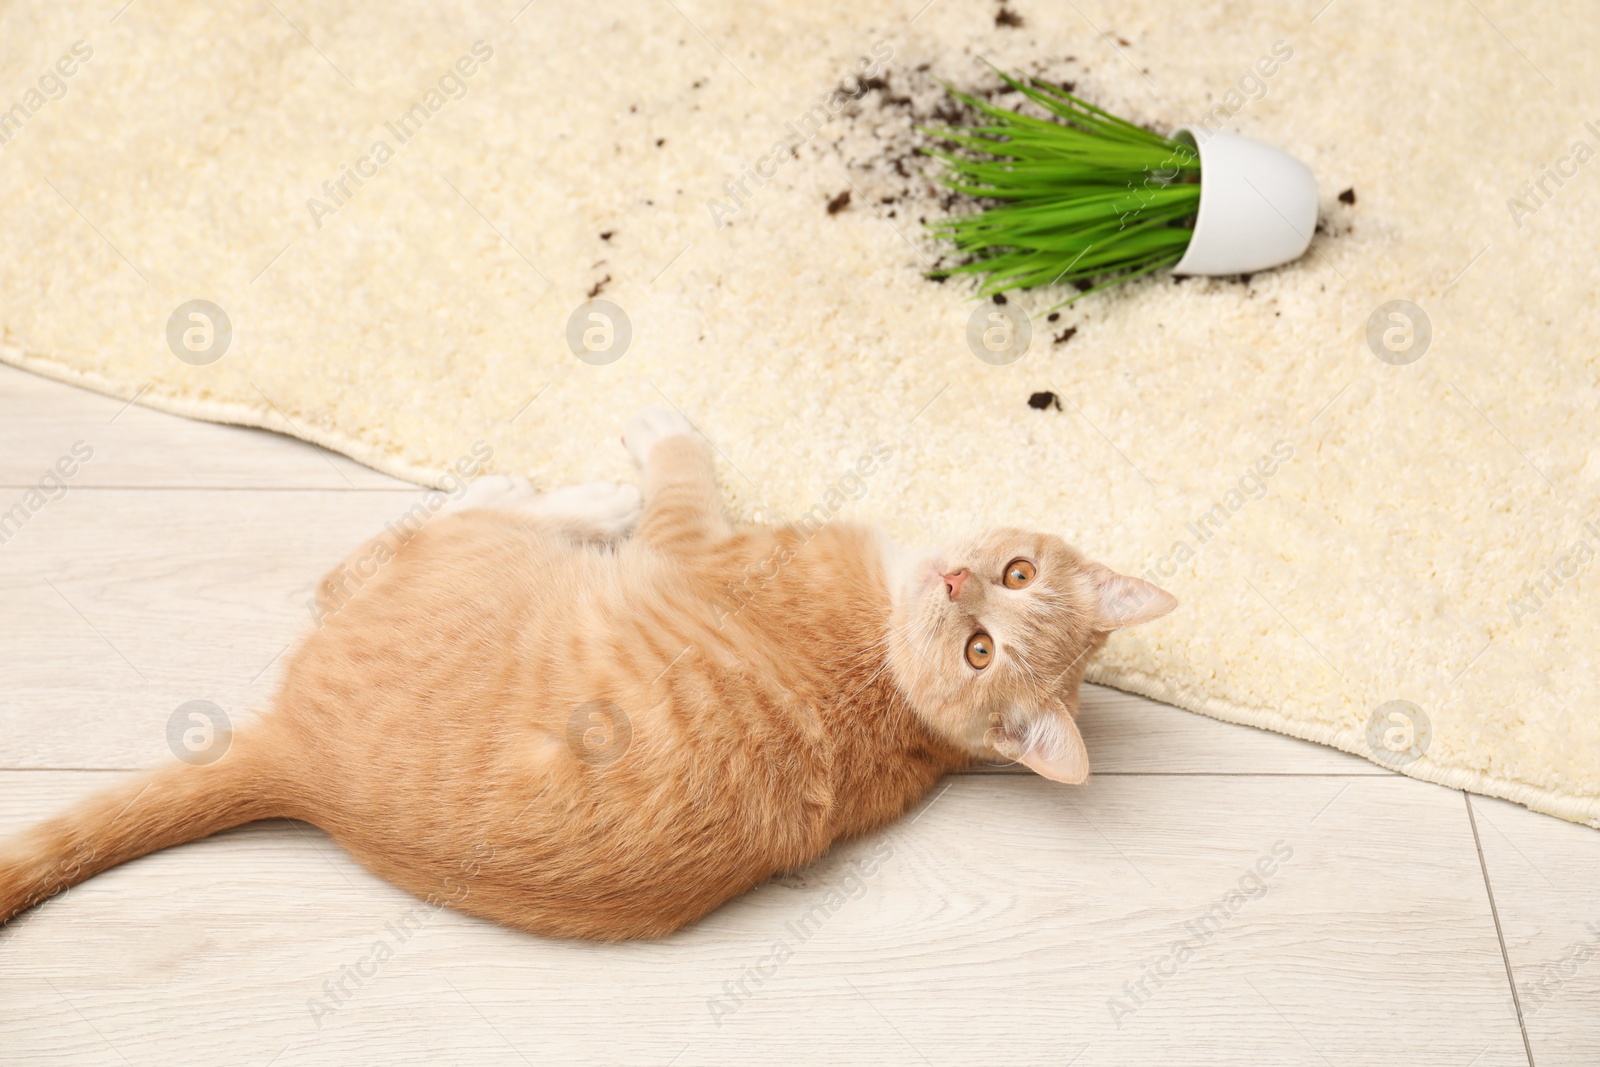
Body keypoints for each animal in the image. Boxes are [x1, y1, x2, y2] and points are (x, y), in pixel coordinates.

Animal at [0, 409, 1177, 940]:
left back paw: (554, 494)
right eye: (1014, 578)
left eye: (983, 645)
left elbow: (681, 476)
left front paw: (661, 444)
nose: (957, 576)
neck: (885, 670)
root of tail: (299, 763)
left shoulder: (699, 542)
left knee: (360, 565)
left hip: (458, 566)